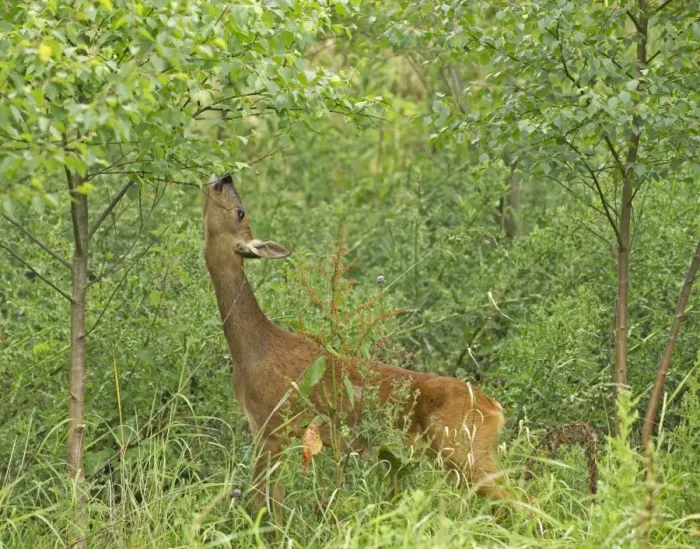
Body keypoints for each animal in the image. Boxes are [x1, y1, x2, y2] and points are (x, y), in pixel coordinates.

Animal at [203, 174, 514, 521]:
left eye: (240, 212)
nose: (224, 177)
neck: (252, 347)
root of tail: (495, 408)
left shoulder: (271, 426)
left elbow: (268, 508)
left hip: (463, 448)